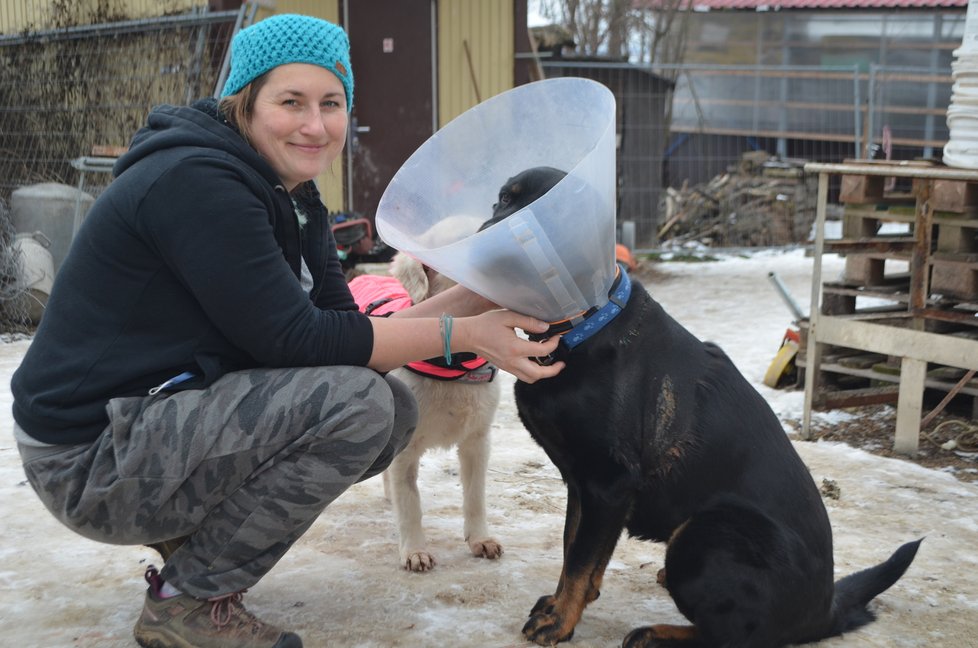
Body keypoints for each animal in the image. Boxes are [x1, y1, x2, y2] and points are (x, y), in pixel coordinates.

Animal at [348, 253, 504, 572]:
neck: (453, 362)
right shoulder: (406, 448)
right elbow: (410, 502)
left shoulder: (477, 440)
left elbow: (475, 495)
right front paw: (415, 551)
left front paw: (480, 539)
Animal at [484, 168, 920, 648]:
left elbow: (579, 560)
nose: (484, 240)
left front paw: (559, 622)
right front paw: (563, 605)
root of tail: (825, 611)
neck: (584, 327)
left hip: (705, 534)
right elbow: (574, 550)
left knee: (731, 636)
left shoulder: (608, 482)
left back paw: (654, 633)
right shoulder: (582, 484)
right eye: (500, 201)